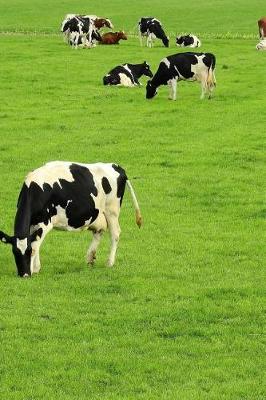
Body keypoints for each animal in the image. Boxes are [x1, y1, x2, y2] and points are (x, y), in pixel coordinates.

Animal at [0, 161, 142, 276]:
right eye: (14, 252)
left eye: (28, 252)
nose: (23, 275)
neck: (35, 189)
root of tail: (116, 166)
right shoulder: (34, 224)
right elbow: (35, 243)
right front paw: (35, 268)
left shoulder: (45, 223)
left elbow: (35, 246)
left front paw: (34, 269)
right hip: (98, 214)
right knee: (99, 232)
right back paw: (90, 258)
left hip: (112, 210)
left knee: (115, 234)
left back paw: (109, 262)